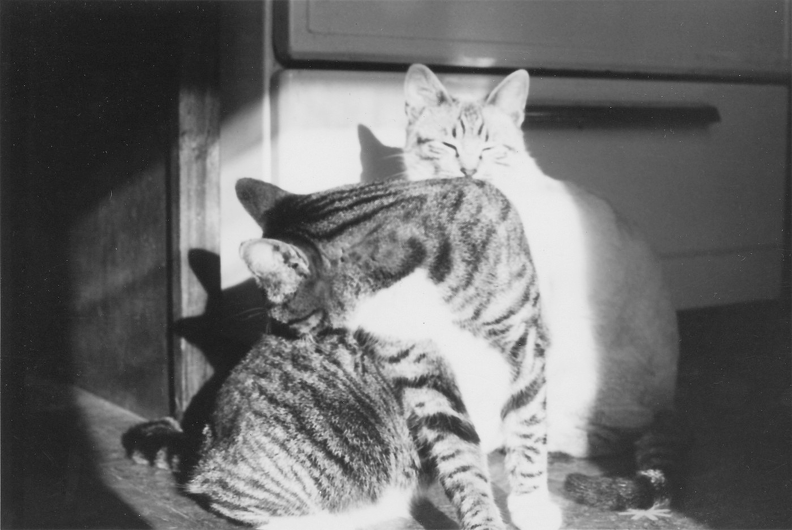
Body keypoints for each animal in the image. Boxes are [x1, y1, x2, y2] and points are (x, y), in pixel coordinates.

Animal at [127, 177, 564, 528]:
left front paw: (531, 506)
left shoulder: (526, 347)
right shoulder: (421, 373)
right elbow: (461, 459)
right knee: (235, 497)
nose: (280, 335)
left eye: (281, 316)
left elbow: (528, 431)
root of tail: (202, 444)